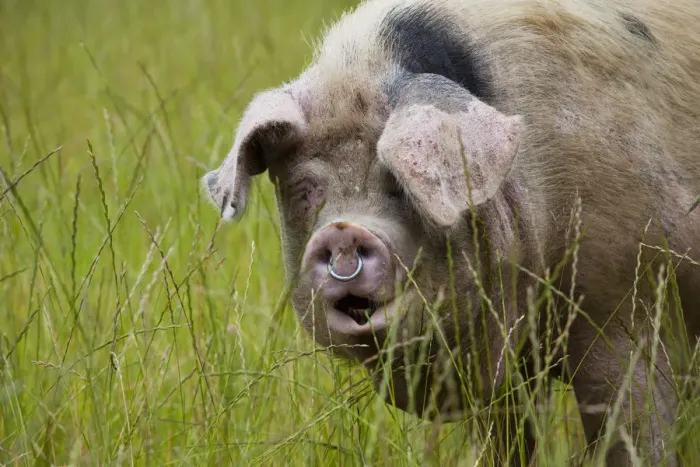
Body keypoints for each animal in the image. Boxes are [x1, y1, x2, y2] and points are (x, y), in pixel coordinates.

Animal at [202, 0, 700, 465]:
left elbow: (632, 431)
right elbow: (506, 440)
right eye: (305, 190)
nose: (341, 232)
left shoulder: (625, 304)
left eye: (400, 183)